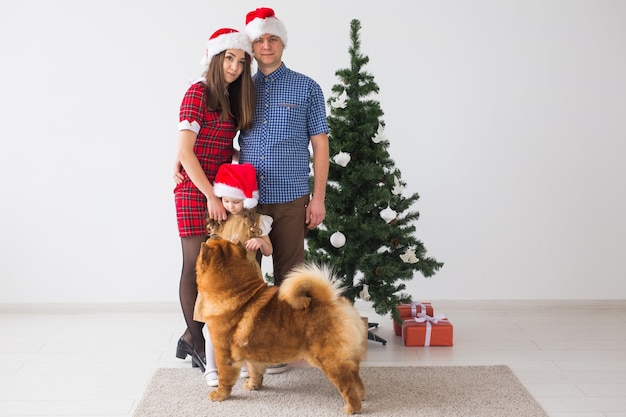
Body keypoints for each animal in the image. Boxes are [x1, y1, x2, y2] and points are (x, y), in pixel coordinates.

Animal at [195, 234, 366, 412]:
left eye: (215, 241)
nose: (213, 234)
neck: (236, 293)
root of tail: (330, 301)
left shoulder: (223, 352)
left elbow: (224, 378)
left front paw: (220, 395)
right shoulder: (252, 353)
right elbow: (255, 371)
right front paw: (253, 385)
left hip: (329, 360)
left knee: (347, 385)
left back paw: (352, 408)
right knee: (356, 378)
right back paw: (361, 396)